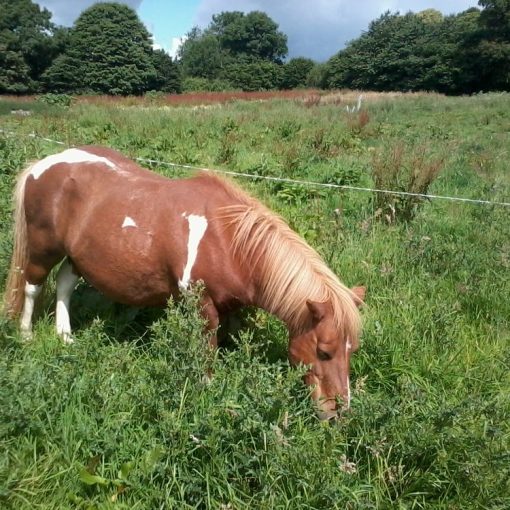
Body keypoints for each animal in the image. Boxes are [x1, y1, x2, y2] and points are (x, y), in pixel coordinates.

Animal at [1, 146, 364, 418]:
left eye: (352, 350)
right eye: (324, 352)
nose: (337, 413)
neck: (227, 240)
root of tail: (41, 165)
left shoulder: (233, 306)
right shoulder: (200, 304)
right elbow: (207, 351)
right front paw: (206, 392)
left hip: (77, 256)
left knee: (64, 283)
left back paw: (65, 336)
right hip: (42, 249)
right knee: (32, 287)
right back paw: (27, 335)